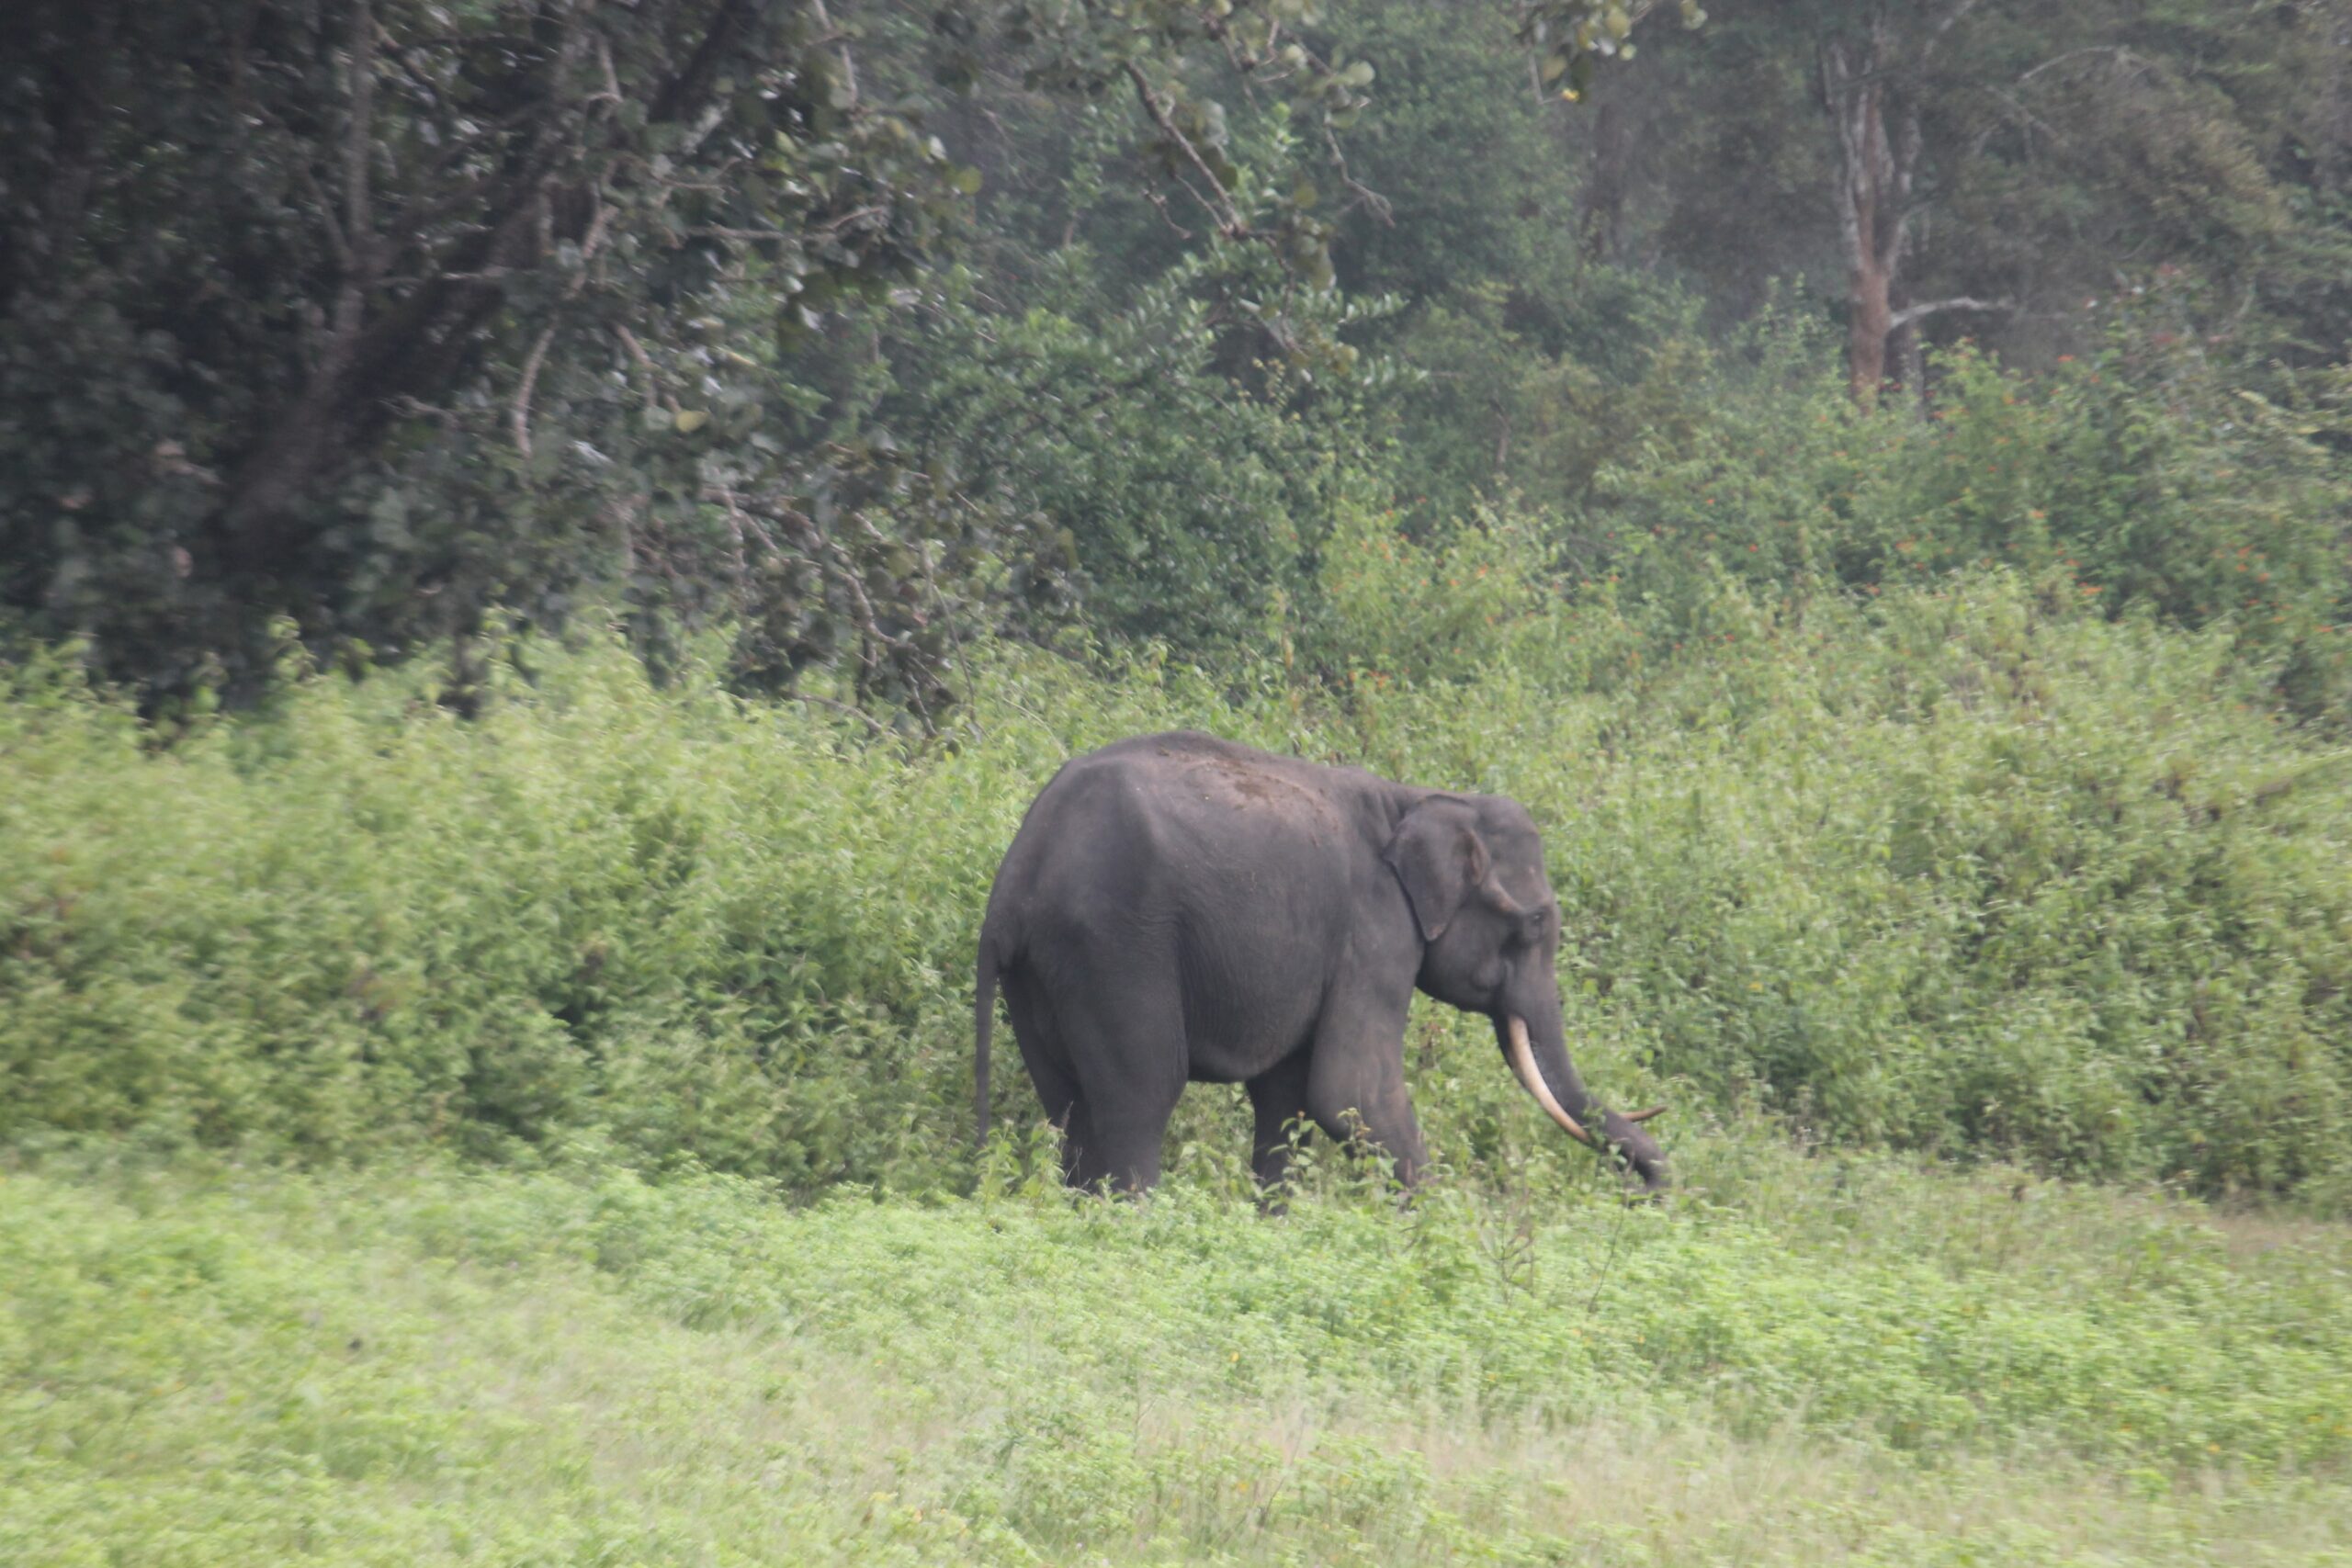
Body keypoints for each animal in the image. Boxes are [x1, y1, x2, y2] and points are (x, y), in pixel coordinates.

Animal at [973, 730, 1667, 1194]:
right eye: (1535, 924)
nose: (1654, 1192)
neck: (1418, 797)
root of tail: (1017, 875)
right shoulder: (1374, 932)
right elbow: (1349, 1092)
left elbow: (1288, 1098)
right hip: (1116, 947)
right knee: (1139, 1096)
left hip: (1040, 973)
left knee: (1067, 1105)